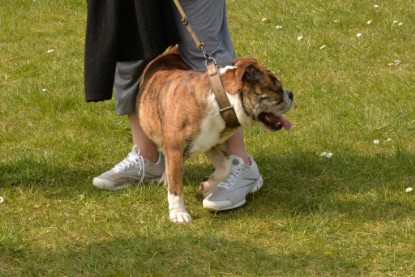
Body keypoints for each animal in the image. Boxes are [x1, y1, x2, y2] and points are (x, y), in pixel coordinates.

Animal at [138, 45, 294, 222]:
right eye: (278, 89)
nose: (291, 94)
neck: (220, 100)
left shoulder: (211, 142)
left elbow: (226, 166)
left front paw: (206, 186)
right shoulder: (175, 150)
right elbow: (176, 187)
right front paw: (178, 213)